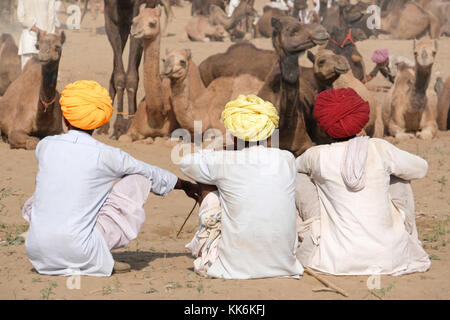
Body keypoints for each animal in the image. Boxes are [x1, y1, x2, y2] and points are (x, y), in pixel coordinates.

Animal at [118, 4, 178, 142]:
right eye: (134, 20)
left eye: (152, 23)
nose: (134, 30)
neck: (156, 113)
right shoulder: (134, 128)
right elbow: (124, 138)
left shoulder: (168, 133)